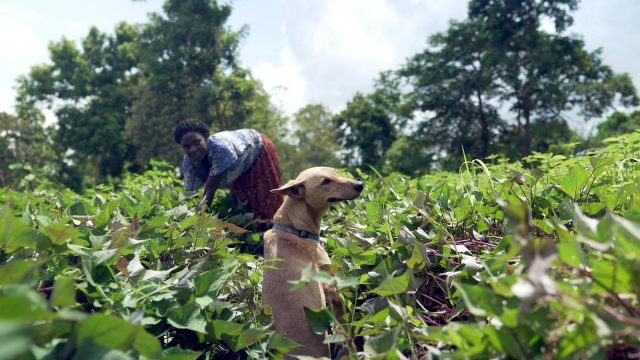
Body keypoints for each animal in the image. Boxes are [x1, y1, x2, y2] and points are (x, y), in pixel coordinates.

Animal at [262, 168, 364, 358]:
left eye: (336, 172)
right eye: (325, 182)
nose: (360, 185)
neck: (294, 229)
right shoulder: (332, 289)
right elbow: (343, 322)